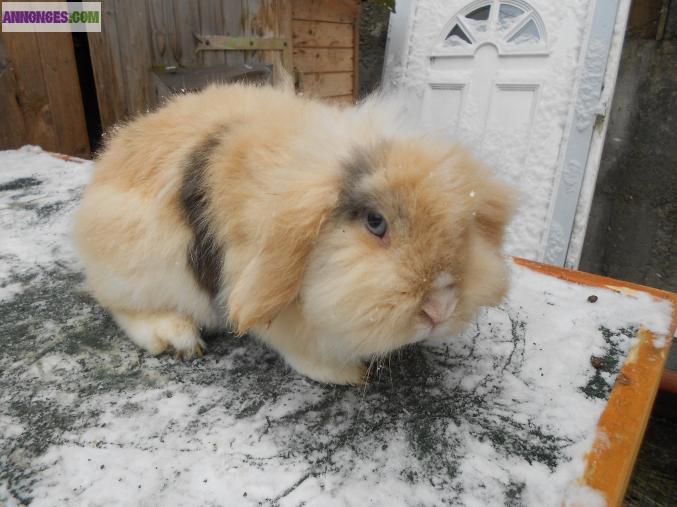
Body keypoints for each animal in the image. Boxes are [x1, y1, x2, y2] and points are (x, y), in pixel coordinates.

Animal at [73, 82, 514, 385]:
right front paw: (348, 374)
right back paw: (176, 338)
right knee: (121, 306)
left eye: (465, 222)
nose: (440, 308)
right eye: (375, 222)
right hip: (142, 270)